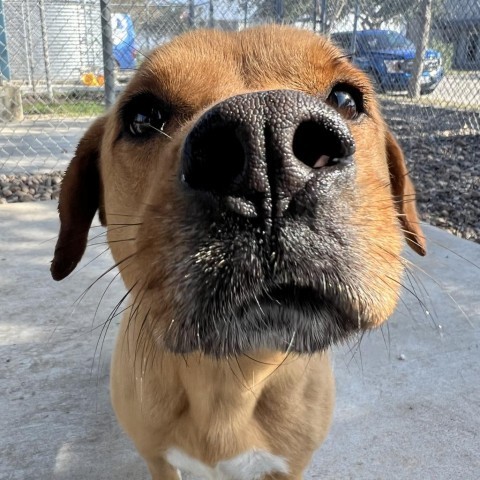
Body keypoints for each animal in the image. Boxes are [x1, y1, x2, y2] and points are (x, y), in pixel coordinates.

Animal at [51, 26, 424, 480]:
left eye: (346, 99)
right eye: (142, 117)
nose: (267, 140)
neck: (232, 379)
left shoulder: (288, 467)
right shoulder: (159, 460)